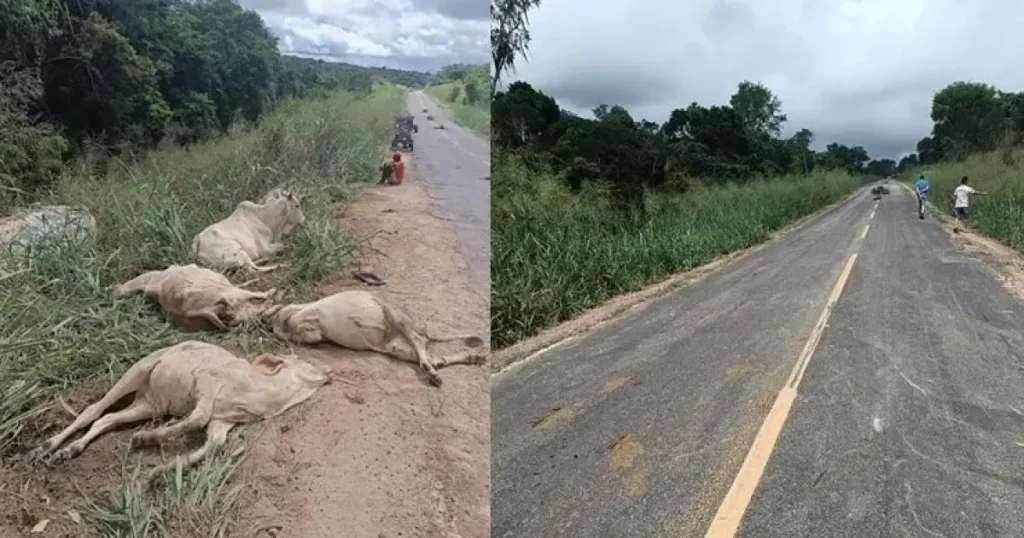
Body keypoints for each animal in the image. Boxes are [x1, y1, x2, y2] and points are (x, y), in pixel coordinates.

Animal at [29, 340, 331, 477]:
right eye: (302, 361)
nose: (328, 371)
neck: (262, 393)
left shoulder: (225, 420)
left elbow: (215, 444)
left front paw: (160, 472)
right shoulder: (207, 383)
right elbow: (197, 419)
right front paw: (145, 438)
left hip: (147, 405)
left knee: (108, 419)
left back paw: (67, 452)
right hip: (138, 371)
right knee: (93, 411)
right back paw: (45, 447)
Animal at [264, 288, 487, 385]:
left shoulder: (302, 310)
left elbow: (292, 318)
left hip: (393, 313)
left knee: (420, 343)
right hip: (397, 347)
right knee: (434, 357)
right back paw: (470, 358)